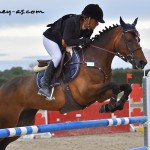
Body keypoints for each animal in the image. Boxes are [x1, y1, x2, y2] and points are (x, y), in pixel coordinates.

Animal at [0, 17, 147, 149]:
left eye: (138, 39)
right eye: (129, 40)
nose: (142, 62)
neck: (92, 62)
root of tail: (3, 87)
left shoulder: (100, 95)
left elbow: (126, 87)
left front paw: (113, 106)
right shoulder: (85, 93)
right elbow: (114, 86)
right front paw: (110, 106)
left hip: (23, 121)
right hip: (9, 121)